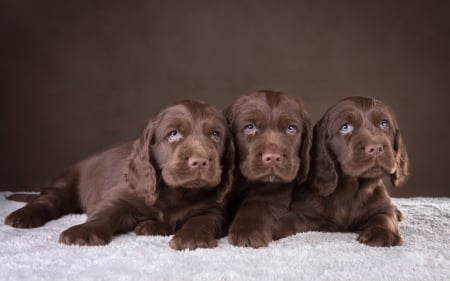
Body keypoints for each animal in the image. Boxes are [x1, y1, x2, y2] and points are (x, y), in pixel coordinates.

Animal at [5, 99, 234, 248]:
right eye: (173, 134)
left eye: (215, 134)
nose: (200, 161)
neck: (177, 192)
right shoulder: (123, 195)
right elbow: (107, 212)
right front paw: (84, 232)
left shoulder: (213, 208)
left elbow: (202, 220)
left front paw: (192, 238)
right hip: (65, 184)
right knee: (47, 200)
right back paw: (22, 216)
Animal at [225, 89, 312, 247]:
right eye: (250, 127)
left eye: (291, 128)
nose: (272, 157)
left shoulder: (275, 197)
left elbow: (255, 203)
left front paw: (248, 231)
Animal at [272, 95, 410, 245]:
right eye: (345, 127)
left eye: (384, 124)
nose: (375, 148)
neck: (352, 190)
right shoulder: (305, 211)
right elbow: (286, 221)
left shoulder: (381, 206)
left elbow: (385, 217)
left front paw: (381, 233)